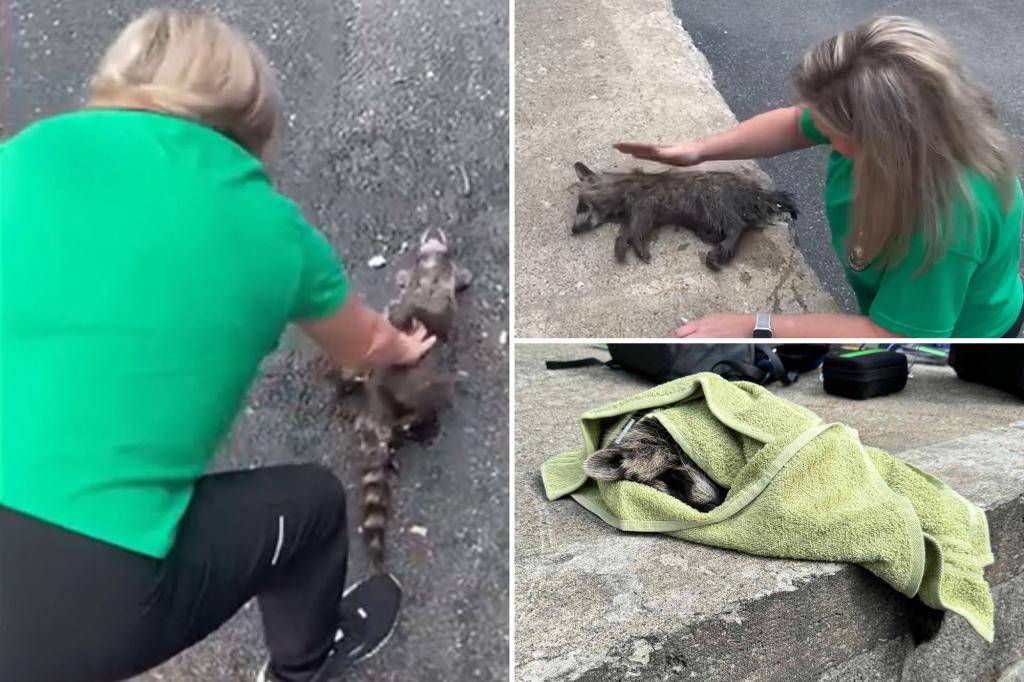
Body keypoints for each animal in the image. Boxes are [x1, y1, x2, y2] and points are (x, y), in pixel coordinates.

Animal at [571, 162, 798, 270]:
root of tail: (752, 191)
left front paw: (634, 241)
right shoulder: (635, 207)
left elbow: (639, 225)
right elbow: (630, 227)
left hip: (716, 194)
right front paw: (623, 240)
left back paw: (730, 236)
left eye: (581, 206)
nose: (573, 230)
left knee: (733, 221)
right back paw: (711, 235)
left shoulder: (646, 201)